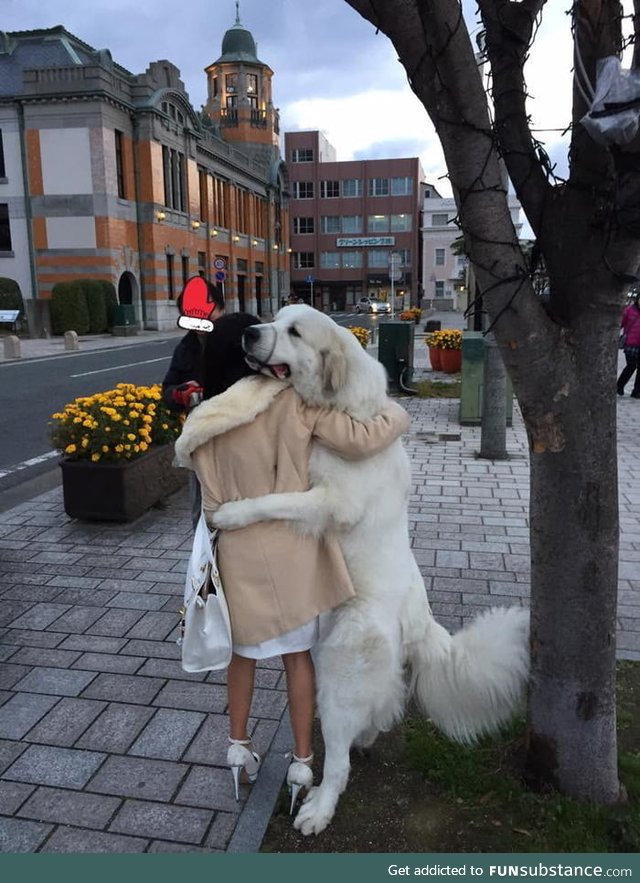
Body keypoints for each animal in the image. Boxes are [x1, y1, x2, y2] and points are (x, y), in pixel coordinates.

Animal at [215, 308, 528, 840]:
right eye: (275, 318)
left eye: (294, 332)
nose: (249, 332)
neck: (341, 407)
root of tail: (422, 621)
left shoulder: (327, 499)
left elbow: (273, 499)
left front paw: (232, 513)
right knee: (384, 706)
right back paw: (364, 738)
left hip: (341, 666)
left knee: (340, 760)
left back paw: (318, 809)